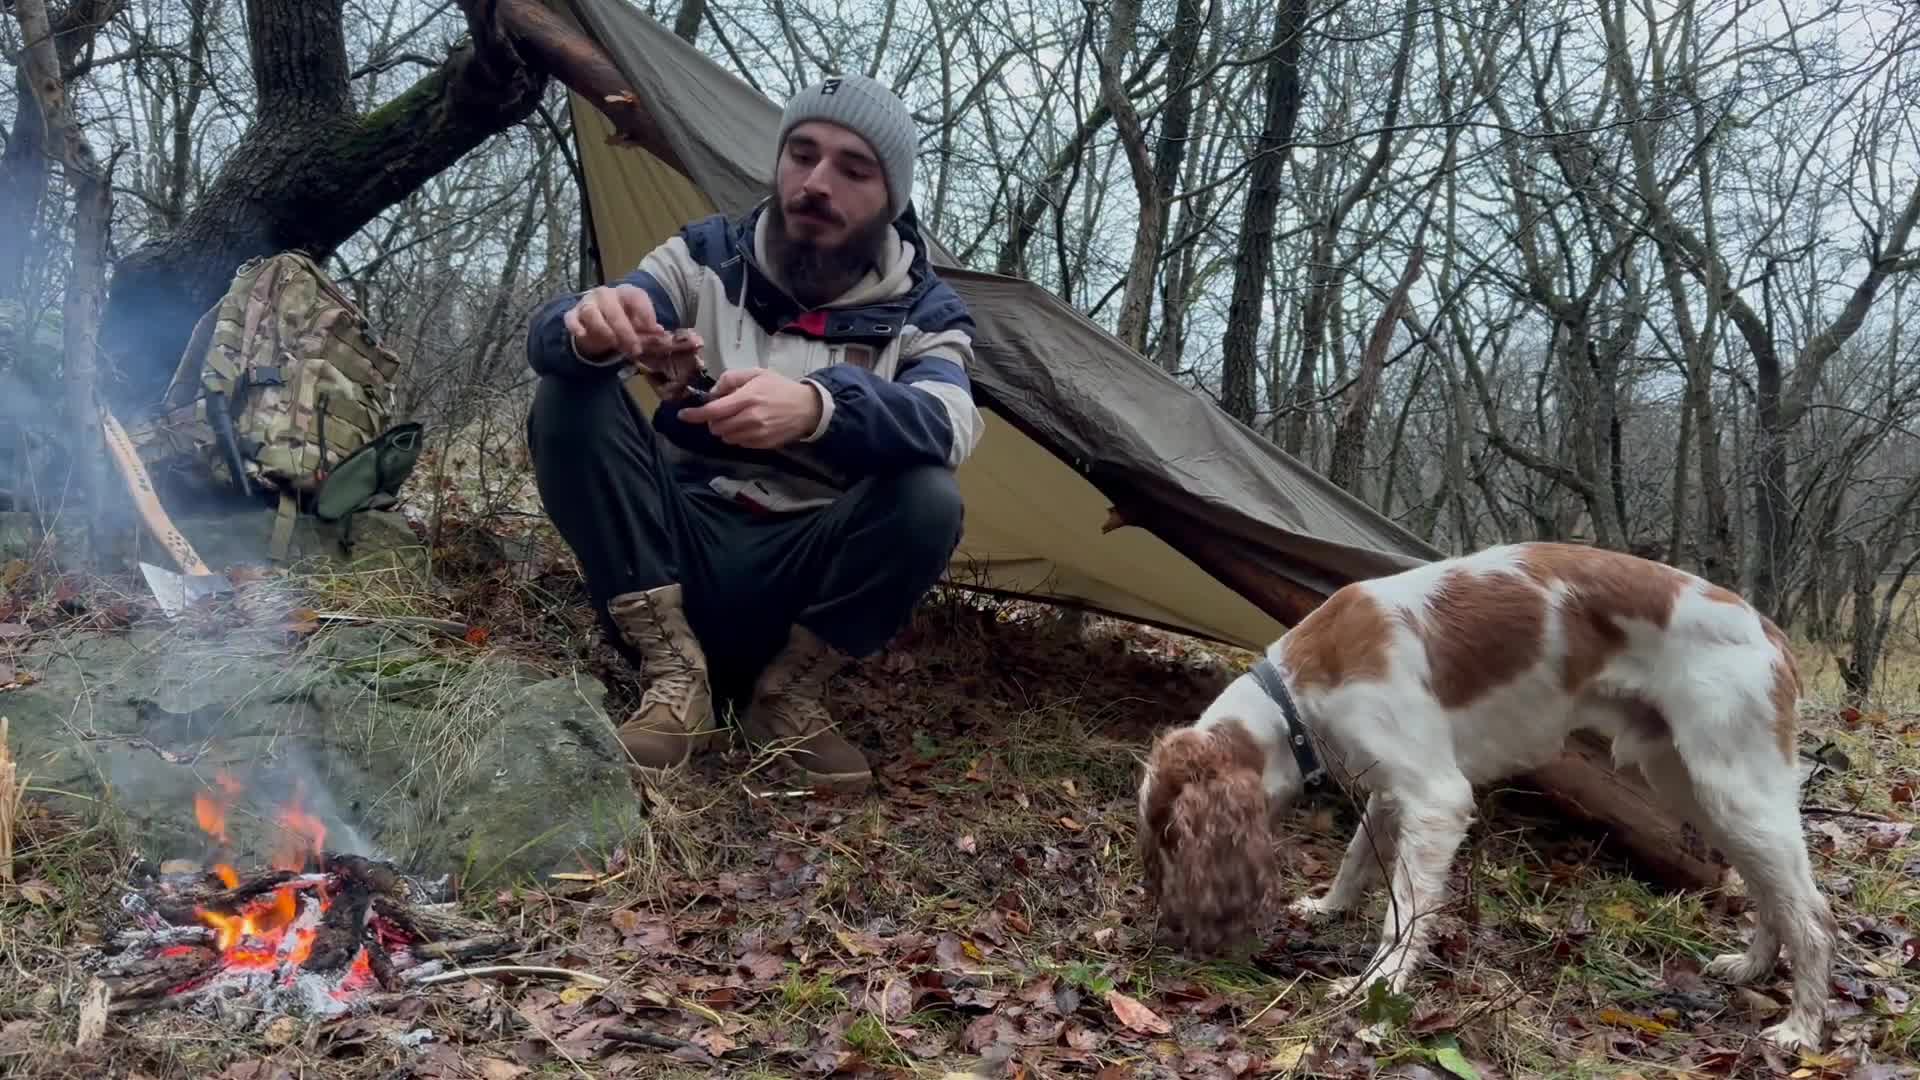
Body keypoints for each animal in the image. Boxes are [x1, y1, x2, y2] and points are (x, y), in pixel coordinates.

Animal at [1128, 541, 1835, 1045]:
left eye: (1171, 836)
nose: (1167, 929)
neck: (1298, 693)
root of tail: (1770, 632)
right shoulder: (1392, 791)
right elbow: (1358, 860)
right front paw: (1327, 908)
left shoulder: (1436, 798)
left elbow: (1403, 916)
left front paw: (1375, 988)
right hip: (1697, 789)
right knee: (1769, 893)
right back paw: (1750, 970)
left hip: (1734, 790)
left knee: (1813, 913)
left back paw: (1800, 1028)